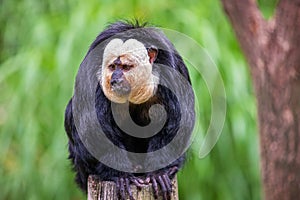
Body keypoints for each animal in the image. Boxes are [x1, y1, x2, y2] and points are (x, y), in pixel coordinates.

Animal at [64, 20, 195, 200]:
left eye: (126, 67)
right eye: (113, 67)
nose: (115, 79)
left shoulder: (172, 72)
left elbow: (177, 124)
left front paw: (159, 173)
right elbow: (90, 125)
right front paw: (121, 176)